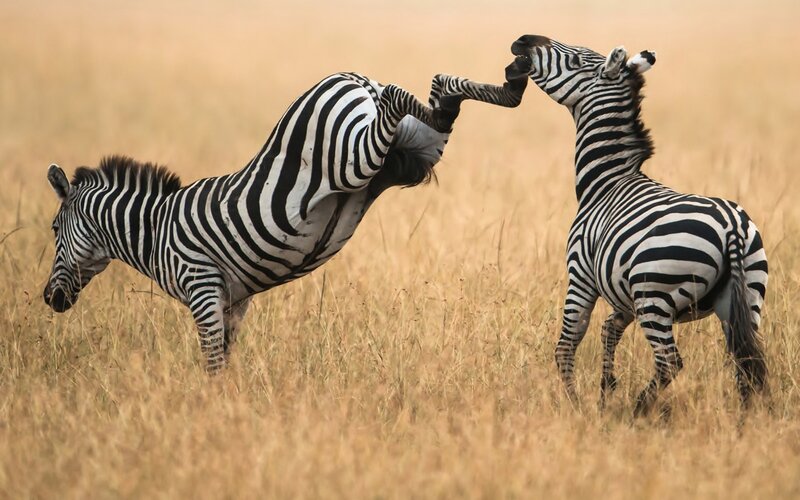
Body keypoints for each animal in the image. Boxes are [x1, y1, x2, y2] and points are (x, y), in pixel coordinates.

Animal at [43, 63, 530, 373]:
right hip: (415, 151)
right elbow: (225, 362)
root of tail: (353, 78)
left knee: (398, 93)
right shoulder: (233, 301)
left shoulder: (201, 287)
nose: (49, 299)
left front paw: (210, 413)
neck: (154, 230)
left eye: (52, 230)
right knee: (442, 92)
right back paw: (511, 85)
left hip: (352, 157)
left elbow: (211, 363)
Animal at [509, 35, 768, 415]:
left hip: (655, 295)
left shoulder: (581, 275)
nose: (523, 41)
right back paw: (744, 419)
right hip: (746, 295)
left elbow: (568, 343)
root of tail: (731, 226)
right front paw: (605, 391)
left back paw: (638, 410)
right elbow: (608, 331)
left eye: (574, 61)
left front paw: (576, 405)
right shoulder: (622, 294)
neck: (606, 182)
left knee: (670, 361)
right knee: (747, 360)